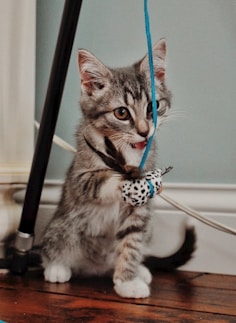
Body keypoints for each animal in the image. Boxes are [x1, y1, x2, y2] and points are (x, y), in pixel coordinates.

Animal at [42, 39, 192, 298]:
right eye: (121, 113)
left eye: (153, 106)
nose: (144, 131)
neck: (127, 147)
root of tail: (95, 266)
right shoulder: (80, 175)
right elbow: (101, 178)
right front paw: (131, 180)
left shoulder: (139, 214)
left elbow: (131, 240)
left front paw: (127, 281)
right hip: (64, 227)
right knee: (51, 247)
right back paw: (57, 267)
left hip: (147, 229)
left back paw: (139, 269)